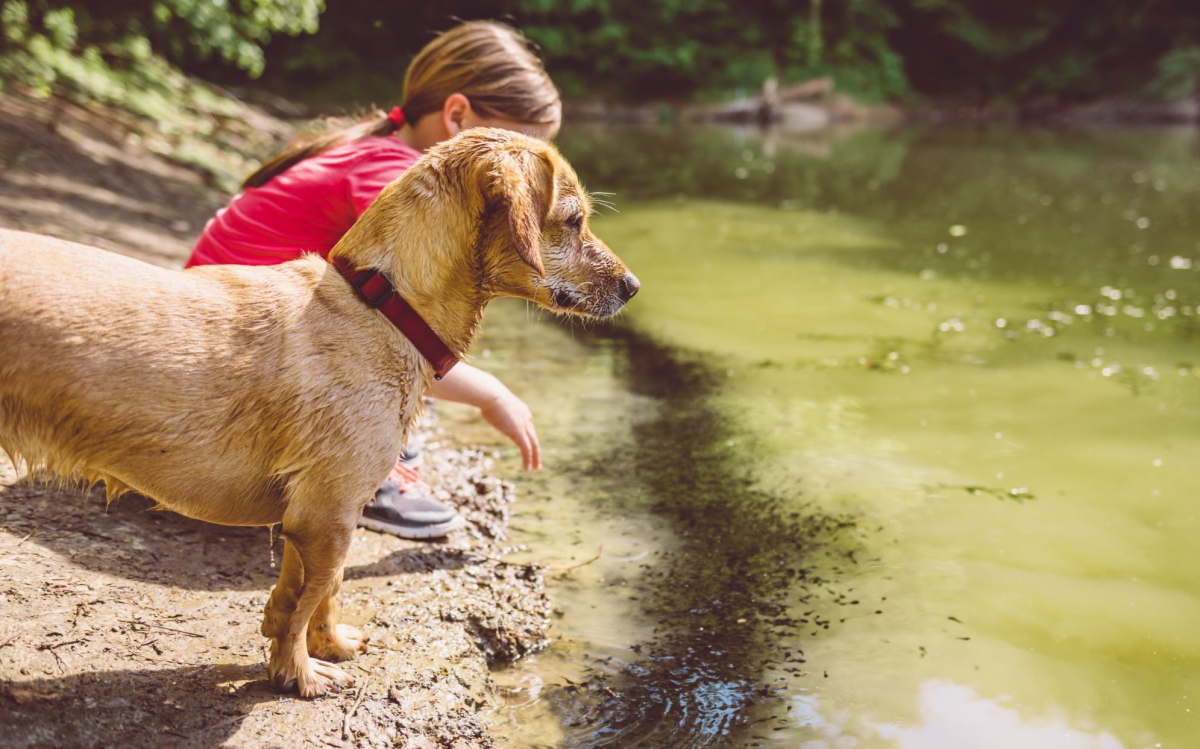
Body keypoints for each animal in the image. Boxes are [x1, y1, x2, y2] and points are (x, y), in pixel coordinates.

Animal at [0, 127, 638, 696]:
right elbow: (309, 601)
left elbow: (307, 595)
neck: (383, 307)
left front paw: (329, 645)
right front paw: (299, 676)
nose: (634, 286)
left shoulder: (319, 518)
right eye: (573, 220)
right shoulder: (326, 517)